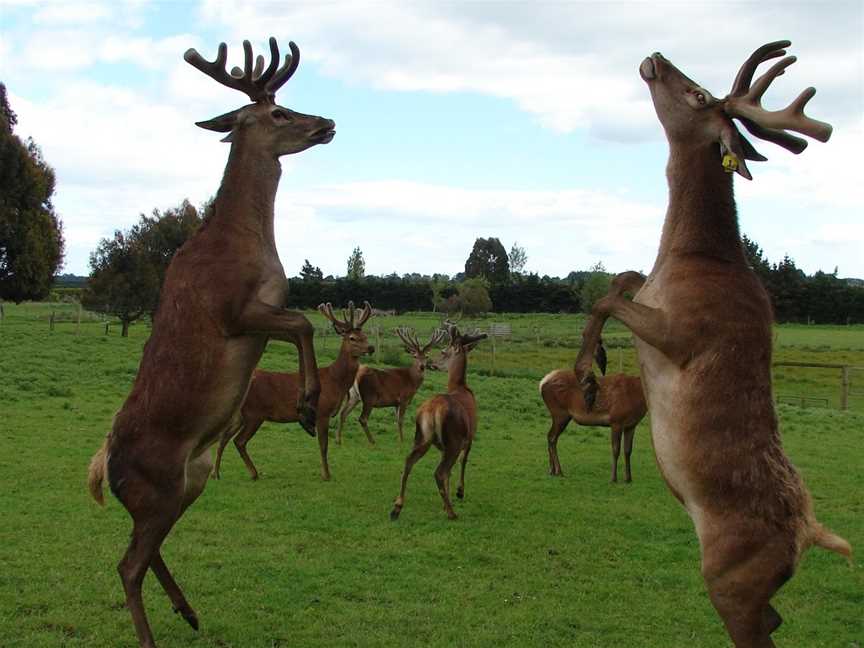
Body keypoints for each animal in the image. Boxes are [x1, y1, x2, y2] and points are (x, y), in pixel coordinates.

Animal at [85, 36, 334, 648]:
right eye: (278, 114)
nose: (328, 123)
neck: (248, 244)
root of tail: (106, 468)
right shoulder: (235, 311)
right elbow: (304, 323)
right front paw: (306, 404)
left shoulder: (259, 314)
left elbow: (302, 323)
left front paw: (307, 403)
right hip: (158, 489)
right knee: (127, 564)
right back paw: (156, 633)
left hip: (187, 484)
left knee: (145, 551)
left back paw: (189, 610)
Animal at [213, 302, 374, 480]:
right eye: (352, 338)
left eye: (365, 335)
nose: (371, 347)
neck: (335, 381)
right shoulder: (322, 412)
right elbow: (323, 445)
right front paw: (326, 474)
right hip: (254, 413)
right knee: (239, 441)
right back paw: (253, 473)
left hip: (240, 414)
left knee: (224, 437)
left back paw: (216, 473)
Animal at [390, 322, 486, 520]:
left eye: (442, 351)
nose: (430, 363)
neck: (461, 387)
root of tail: (432, 410)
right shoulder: (470, 436)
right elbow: (463, 462)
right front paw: (459, 492)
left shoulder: (444, 446)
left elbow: (449, 473)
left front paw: (446, 501)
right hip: (454, 439)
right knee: (439, 472)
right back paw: (451, 512)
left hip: (422, 435)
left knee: (409, 461)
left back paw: (397, 506)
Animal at [544, 340, 644, 480]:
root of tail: (542, 382)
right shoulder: (616, 420)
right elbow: (616, 449)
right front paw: (614, 478)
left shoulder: (631, 424)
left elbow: (628, 451)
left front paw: (628, 478)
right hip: (559, 413)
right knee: (552, 437)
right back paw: (558, 470)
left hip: (561, 415)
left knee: (550, 437)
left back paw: (552, 470)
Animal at [572, 43, 852, 644]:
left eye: (699, 94)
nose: (655, 57)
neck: (692, 256)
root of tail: (809, 534)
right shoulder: (651, 292)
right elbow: (622, 279)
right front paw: (591, 364)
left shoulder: (684, 333)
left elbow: (607, 300)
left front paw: (587, 374)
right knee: (776, 616)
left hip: (730, 580)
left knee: (757, 625)